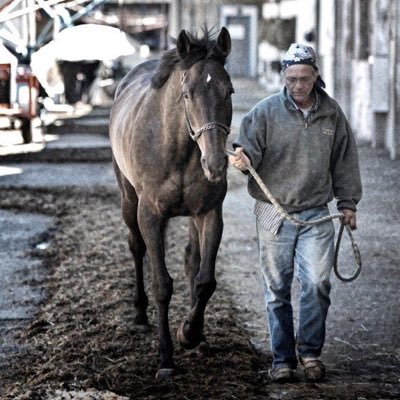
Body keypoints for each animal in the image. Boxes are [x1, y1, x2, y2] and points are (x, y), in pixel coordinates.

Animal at [108, 28, 234, 378]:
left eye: (229, 90)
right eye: (187, 94)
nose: (216, 163)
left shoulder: (209, 213)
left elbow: (205, 280)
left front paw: (191, 334)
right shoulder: (150, 215)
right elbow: (162, 285)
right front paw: (166, 360)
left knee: (192, 259)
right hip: (128, 200)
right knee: (136, 247)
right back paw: (139, 316)